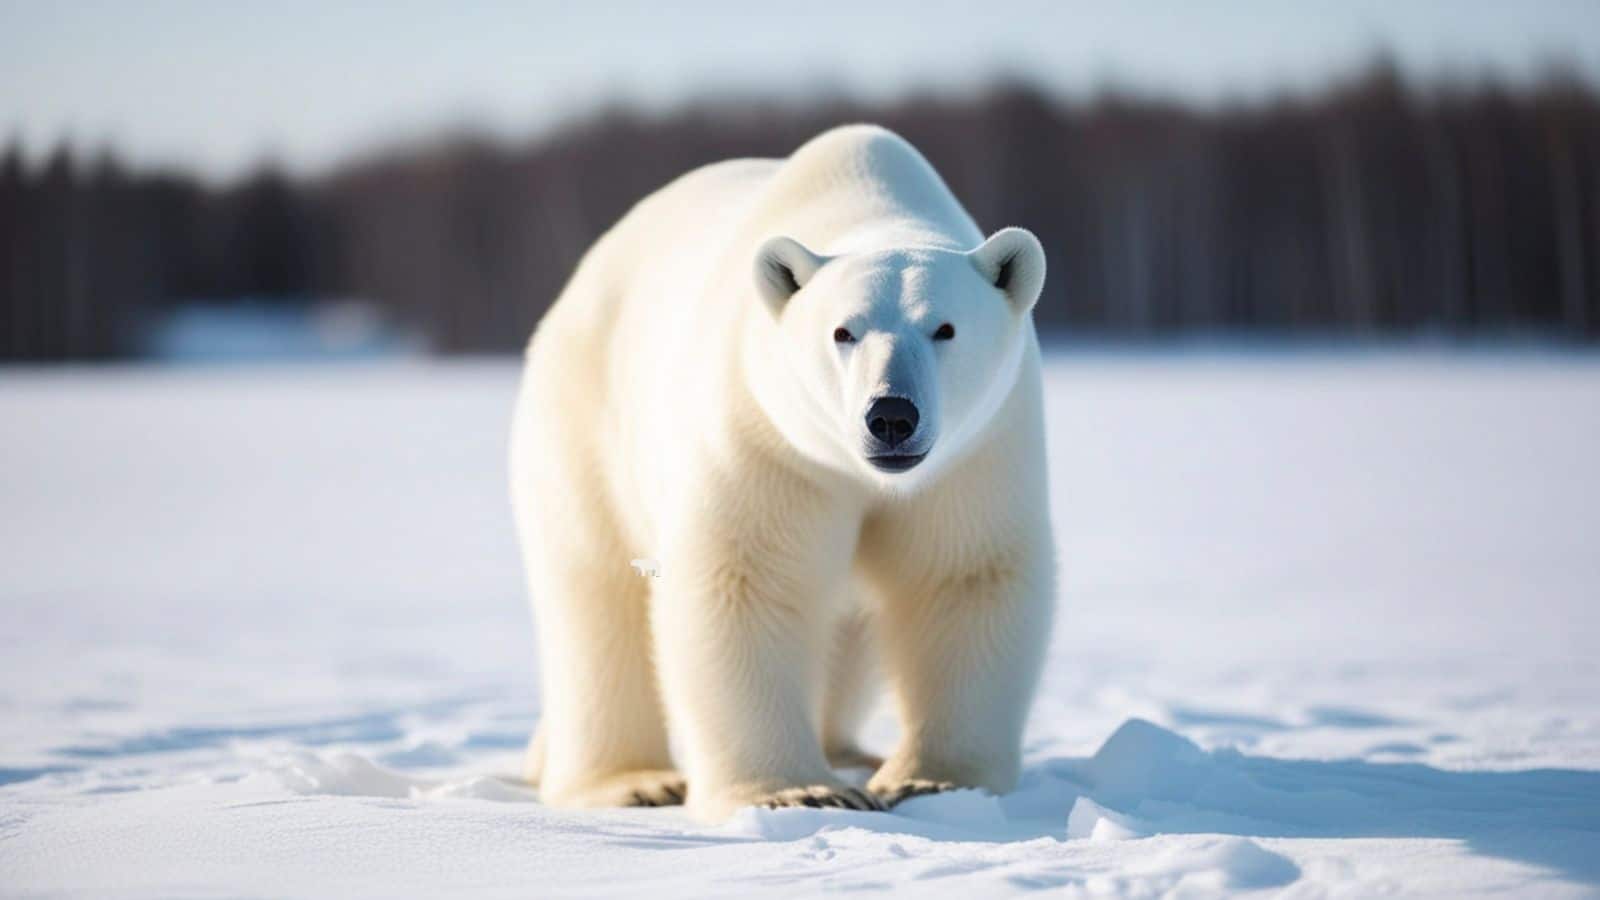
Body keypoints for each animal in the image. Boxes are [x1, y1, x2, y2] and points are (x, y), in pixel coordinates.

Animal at [509, 124, 1056, 821]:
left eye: (945, 328)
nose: (892, 416)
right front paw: (799, 791)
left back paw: (853, 752)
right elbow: (747, 579)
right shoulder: (766, 442)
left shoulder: (975, 456)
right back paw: (632, 780)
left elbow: (960, 576)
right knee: (594, 595)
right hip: (585, 427)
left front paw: (929, 781)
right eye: (843, 331)